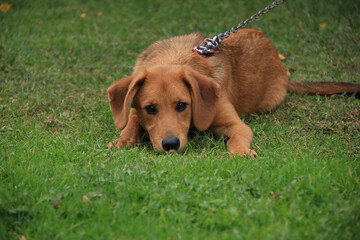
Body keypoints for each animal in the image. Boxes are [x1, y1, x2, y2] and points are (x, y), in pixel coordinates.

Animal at [107, 29, 360, 157]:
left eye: (182, 105)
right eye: (150, 108)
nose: (170, 144)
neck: (175, 58)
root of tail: (284, 72)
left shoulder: (236, 125)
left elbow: (236, 141)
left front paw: (241, 152)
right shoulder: (135, 109)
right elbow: (131, 122)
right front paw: (121, 141)